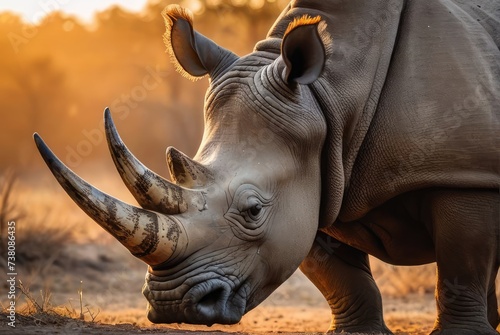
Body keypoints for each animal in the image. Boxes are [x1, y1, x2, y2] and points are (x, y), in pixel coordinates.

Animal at [33, 0, 498, 334]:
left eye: (253, 210)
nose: (173, 303)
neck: (330, 95)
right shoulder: (317, 177)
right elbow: (340, 278)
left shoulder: (468, 176)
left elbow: (461, 264)